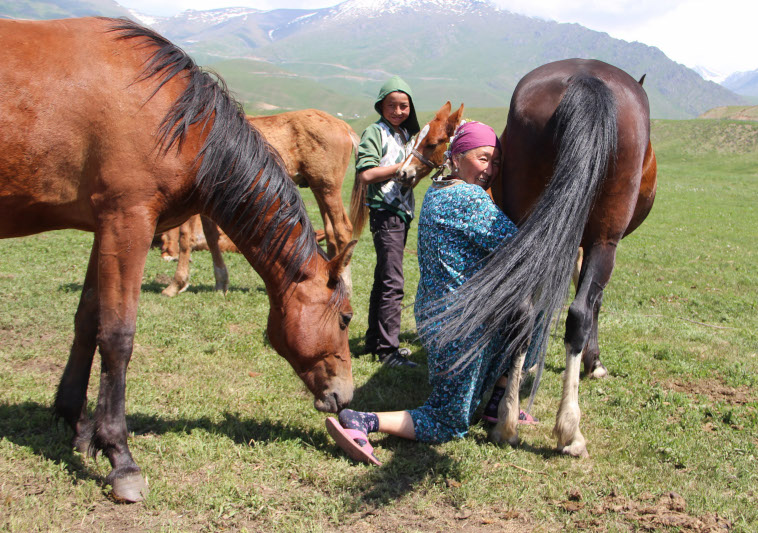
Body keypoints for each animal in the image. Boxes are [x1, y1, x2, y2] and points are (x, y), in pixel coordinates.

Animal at [160, 109, 359, 297]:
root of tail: (344, 126)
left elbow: (185, 237)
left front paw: (176, 283)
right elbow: (211, 237)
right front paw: (221, 282)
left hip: (328, 188)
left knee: (342, 229)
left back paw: (346, 286)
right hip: (319, 190)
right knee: (331, 232)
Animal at [416, 59, 657, 458]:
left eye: (433, 140)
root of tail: (586, 77)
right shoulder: (591, 243)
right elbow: (591, 304)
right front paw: (595, 363)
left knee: (521, 312)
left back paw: (507, 421)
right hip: (604, 240)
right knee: (578, 313)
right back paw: (569, 430)